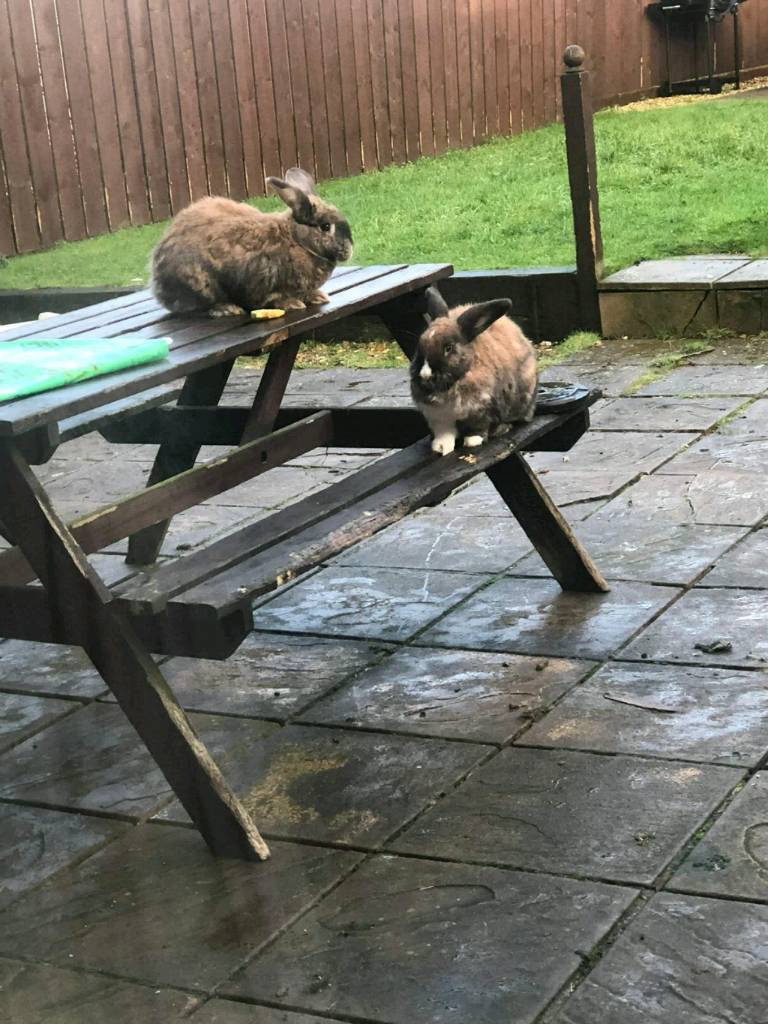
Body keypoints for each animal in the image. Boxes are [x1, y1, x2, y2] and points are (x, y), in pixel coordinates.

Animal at [150, 167, 353, 317]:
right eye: (325, 226)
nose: (348, 250)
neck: (297, 241)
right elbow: (272, 298)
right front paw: (293, 304)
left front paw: (317, 297)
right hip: (200, 285)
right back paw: (227, 309)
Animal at [410, 286, 538, 456]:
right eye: (419, 347)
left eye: (448, 348)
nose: (425, 375)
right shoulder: (439, 417)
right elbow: (444, 432)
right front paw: (440, 447)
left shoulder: (481, 410)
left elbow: (479, 426)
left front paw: (472, 441)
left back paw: (502, 429)